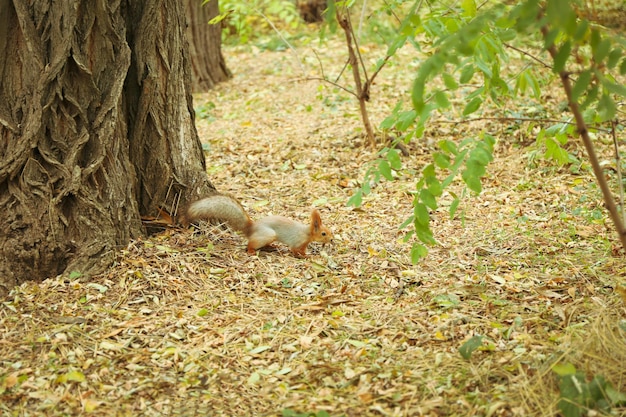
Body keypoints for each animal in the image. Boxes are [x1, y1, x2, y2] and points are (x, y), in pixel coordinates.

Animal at [185, 195, 332, 256]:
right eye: (323, 233)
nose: (331, 239)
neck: (306, 232)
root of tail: (251, 228)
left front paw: (306, 253)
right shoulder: (297, 242)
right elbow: (295, 250)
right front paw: (304, 256)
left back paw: (271, 247)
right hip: (267, 234)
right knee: (250, 244)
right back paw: (251, 251)